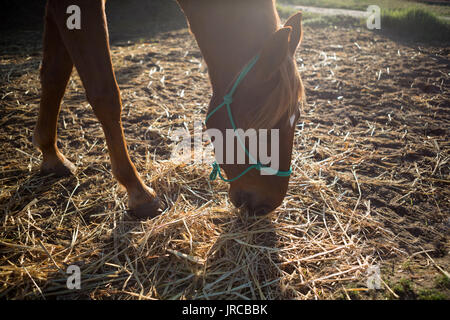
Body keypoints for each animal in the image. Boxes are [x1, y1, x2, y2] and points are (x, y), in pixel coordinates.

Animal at [33, 0, 304, 218]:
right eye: (265, 126)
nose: (269, 204)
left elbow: (55, 74)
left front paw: (51, 154)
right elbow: (105, 95)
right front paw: (139, 193)